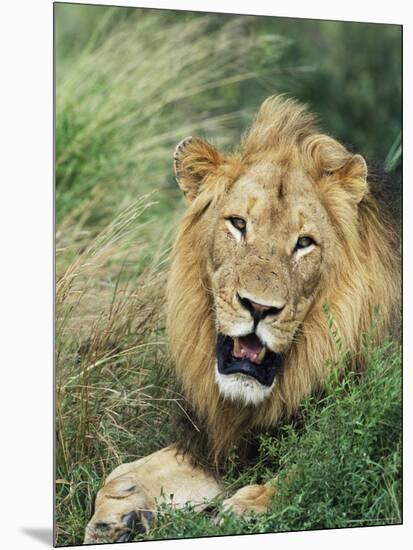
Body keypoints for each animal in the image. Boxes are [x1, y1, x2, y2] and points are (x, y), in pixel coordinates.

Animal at [83, 97, 400, 544]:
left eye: (304, 243)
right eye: (238, 224)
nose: (259, 308)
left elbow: (316, 470)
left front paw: (249, 508)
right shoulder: (223, 443)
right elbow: (121, 472)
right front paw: (118, 515)